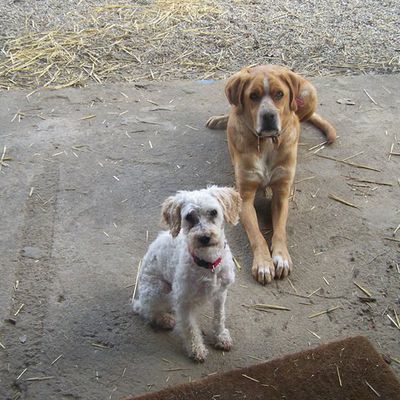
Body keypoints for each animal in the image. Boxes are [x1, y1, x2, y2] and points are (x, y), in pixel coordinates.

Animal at [133, 188, 242, 362]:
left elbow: (219, 317)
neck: (207, 263)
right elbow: (190, 328)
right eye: (189, 217)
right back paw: (164, 319)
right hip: (159, 290)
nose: (205, 237)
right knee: (146, 310)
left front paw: (220, 337)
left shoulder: (221, 293)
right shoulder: (183, 300)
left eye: (213, 212)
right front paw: (196, 349)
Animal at [208, 65, 336, 284]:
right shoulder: (245, 198)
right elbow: (257, 235)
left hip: (308, 93)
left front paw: (281, 257)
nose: (268, 116)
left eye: (279, 94)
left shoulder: (282, 194)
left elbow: (280, 231)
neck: (266, 143)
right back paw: (221, 120)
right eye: (253, 96)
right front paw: (263, 263)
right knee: (233, 109)